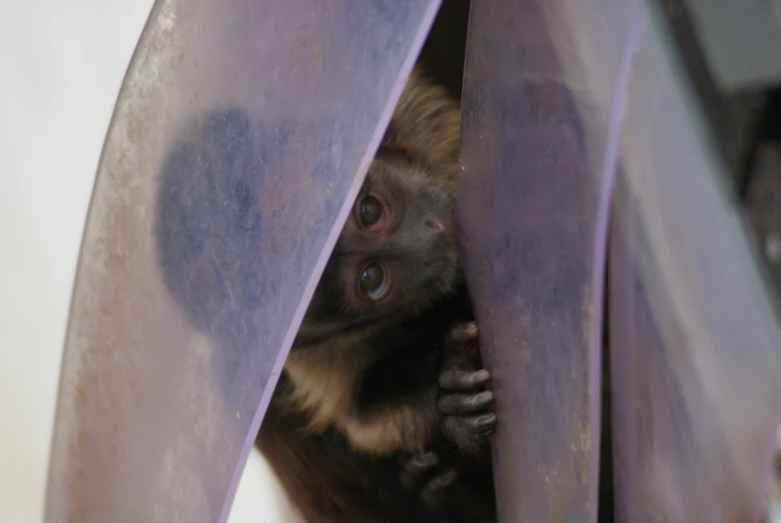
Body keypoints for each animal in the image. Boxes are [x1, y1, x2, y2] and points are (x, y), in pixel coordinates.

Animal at [254, 66, 500, 523]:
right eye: (371, 278)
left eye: (368, 211)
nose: (428, 239)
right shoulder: (313, 357)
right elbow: (362, 416)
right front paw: (448, 385)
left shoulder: (414, 120)